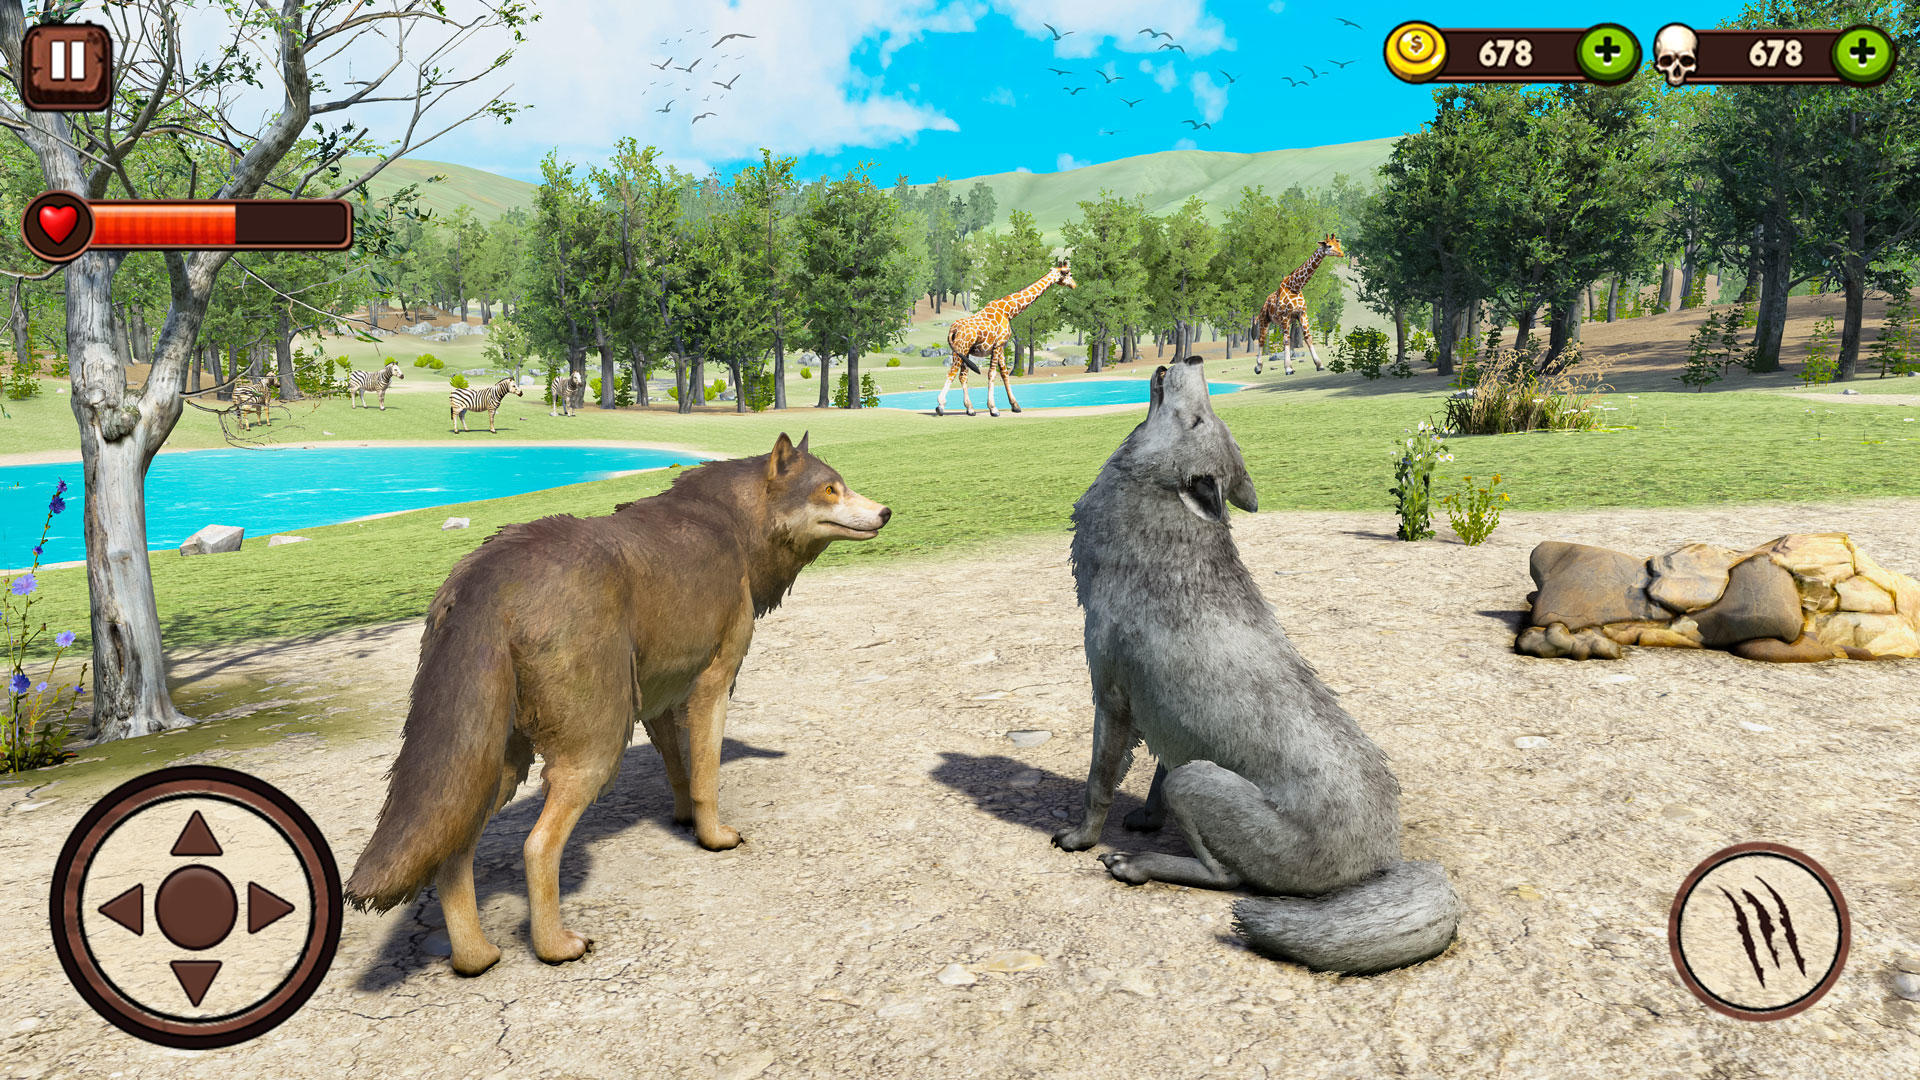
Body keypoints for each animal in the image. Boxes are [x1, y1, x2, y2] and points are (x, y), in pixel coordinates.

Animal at [345, 433, 891, 975]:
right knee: (535, 847)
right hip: (594, 749)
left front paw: (683, 821)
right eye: (830, 489)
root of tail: (483, 575)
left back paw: (475, 959)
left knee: (453, 854)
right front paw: (713, 837)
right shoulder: (713, 683)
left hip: (497, 764)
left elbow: (678, 771)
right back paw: (555, 948)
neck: (734, 525)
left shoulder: (659, 700)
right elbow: (706, 776)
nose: (886, 511)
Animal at [1052, 356, 1460, 974]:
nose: (1194, 359)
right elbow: (1155, 776)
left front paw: (1081, 838)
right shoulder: (1169, 724)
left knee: (1227, 878)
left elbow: (1099, 783)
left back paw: (1136, 865)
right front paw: (1146, 820)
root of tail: (1380, 863)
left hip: (1200, 782)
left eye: (1199, 418)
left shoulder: (1112, 700)